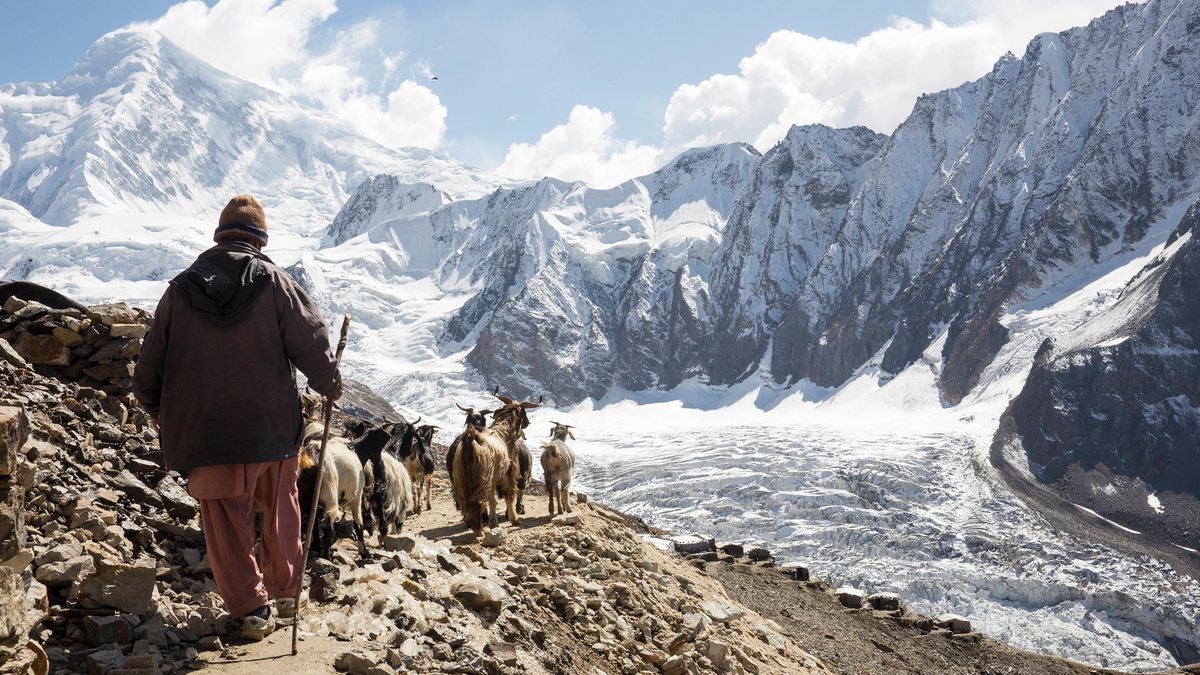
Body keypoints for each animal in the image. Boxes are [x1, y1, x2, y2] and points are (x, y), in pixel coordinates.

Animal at [448, 391, 542, 533]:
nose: (527, 423)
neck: (503, 432)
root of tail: (470, 442)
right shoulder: (510, 473)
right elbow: (509, 495)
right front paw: (514, 519)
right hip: (482, 479)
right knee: (482, 501)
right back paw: (483, 528)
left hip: (461, 480)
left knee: (466, 502)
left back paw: (473, 524)